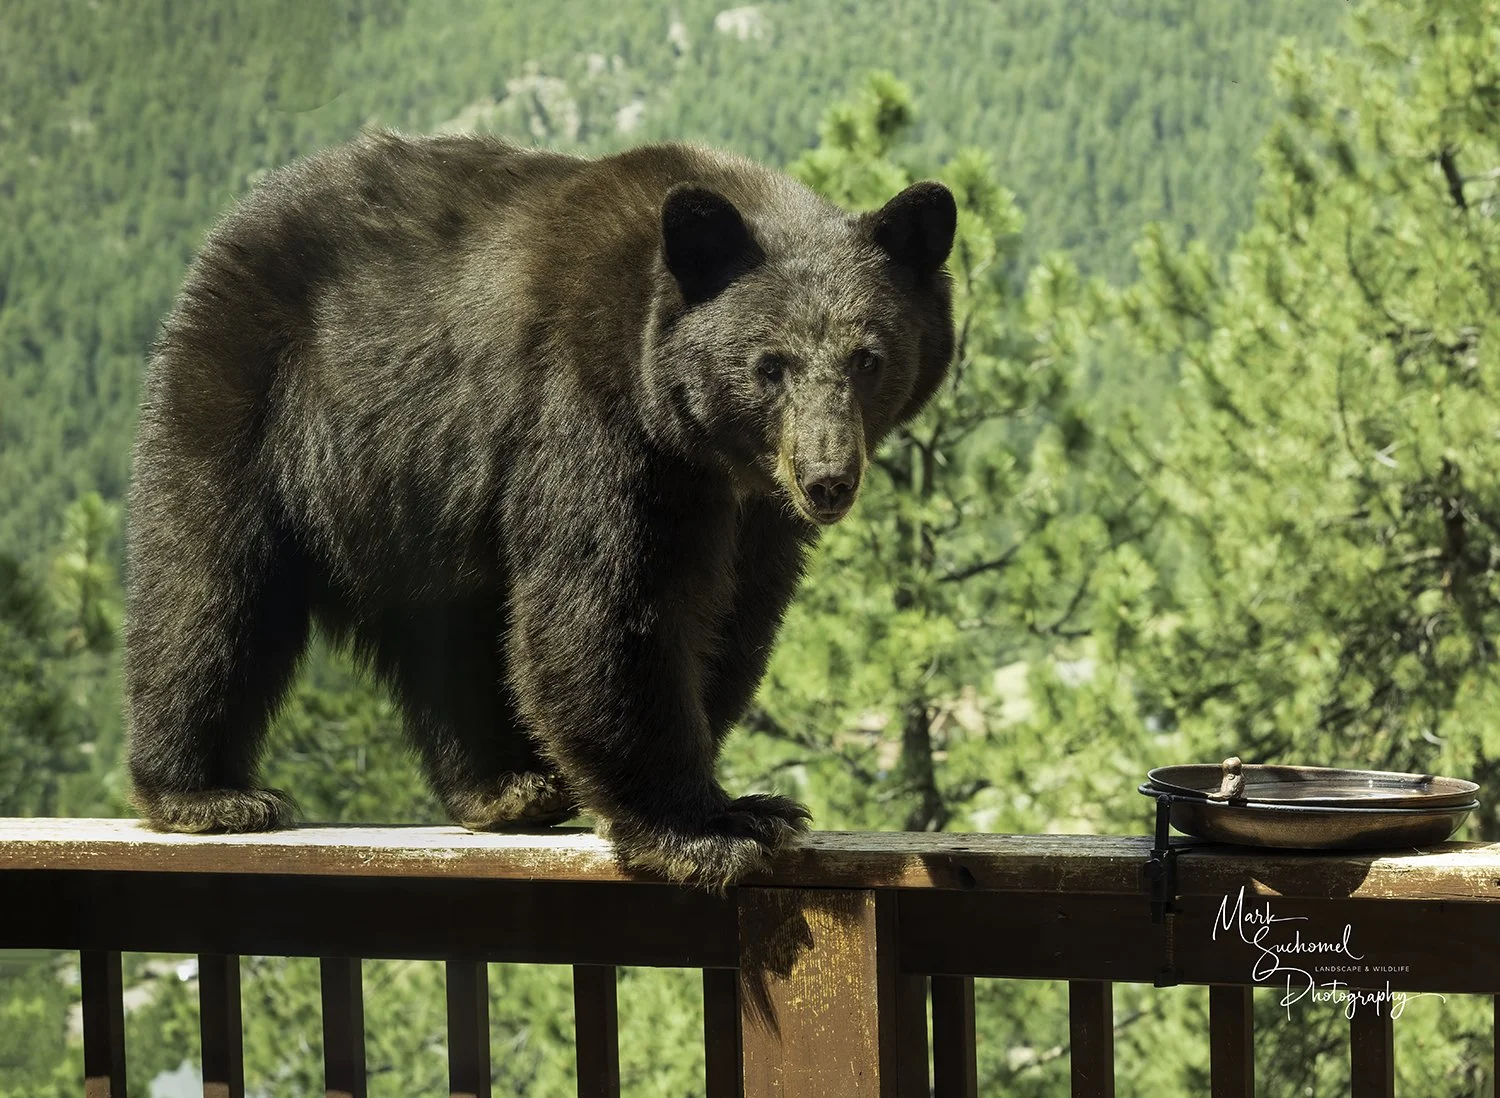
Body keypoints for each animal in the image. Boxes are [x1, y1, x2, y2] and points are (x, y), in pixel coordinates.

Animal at [124, 129, 956, 889]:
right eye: (770, 366)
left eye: (868, 358)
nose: (826, 479)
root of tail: (240, 222)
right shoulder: (594, 411)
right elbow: (610, 607)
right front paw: (708, 826)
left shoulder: (752, 507)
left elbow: (733, 618)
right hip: (250, 394)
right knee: (209, 584)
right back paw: (204, 793)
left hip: (420, 502)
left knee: (449, 631)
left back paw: (503, 787)